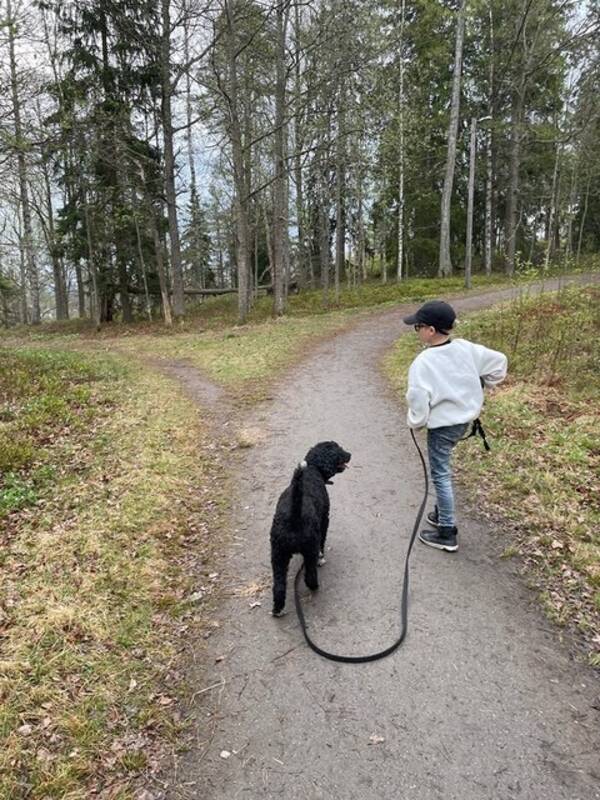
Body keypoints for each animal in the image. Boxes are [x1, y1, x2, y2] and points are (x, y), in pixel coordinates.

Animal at [268, 440, 350, 616]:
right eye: (339, 450)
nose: (350, 454)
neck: (313, 468)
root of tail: (294, 515)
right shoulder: (325, 519)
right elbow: (323, 541)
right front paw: (322, 557)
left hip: (278, 553)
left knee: (279, 585)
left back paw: (278, 609)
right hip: (310, 546)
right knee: (310, 575)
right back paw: (315, 586)